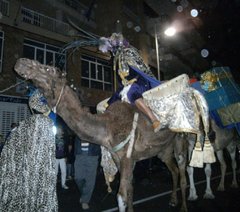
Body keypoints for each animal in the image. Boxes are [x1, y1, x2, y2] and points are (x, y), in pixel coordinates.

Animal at [14, 57, 212, 211]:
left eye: (48, 68)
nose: (21, 62)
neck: (106, 127)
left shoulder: (127, 157)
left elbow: (121, 197)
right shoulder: (120, 158)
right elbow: (130, 190)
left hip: (181, 139)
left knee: (183, 169)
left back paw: (185, 205)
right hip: (163, 150)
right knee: (173, 170)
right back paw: (172, 200)